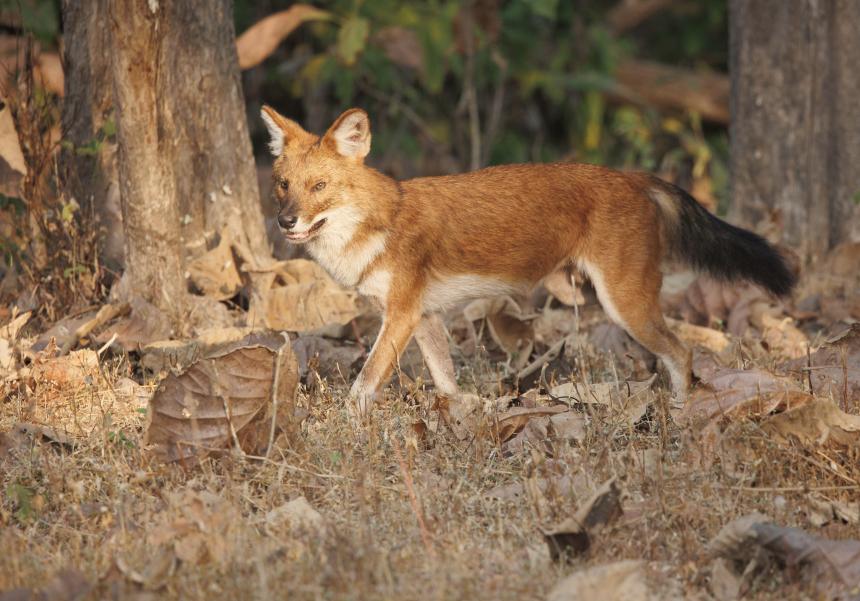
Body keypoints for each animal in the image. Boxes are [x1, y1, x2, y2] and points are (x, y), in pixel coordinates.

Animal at [260, 104, 792, 418]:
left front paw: (341, 430)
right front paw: (464, 417)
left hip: (625, 304)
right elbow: (446, 381)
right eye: (283, 185)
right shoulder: (423, 316)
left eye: (320, 186)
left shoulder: (402, 314)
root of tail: (634, 176)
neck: (377, 222)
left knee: (683, 353)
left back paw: (683, 418)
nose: (286, 221)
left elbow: (363, 385)